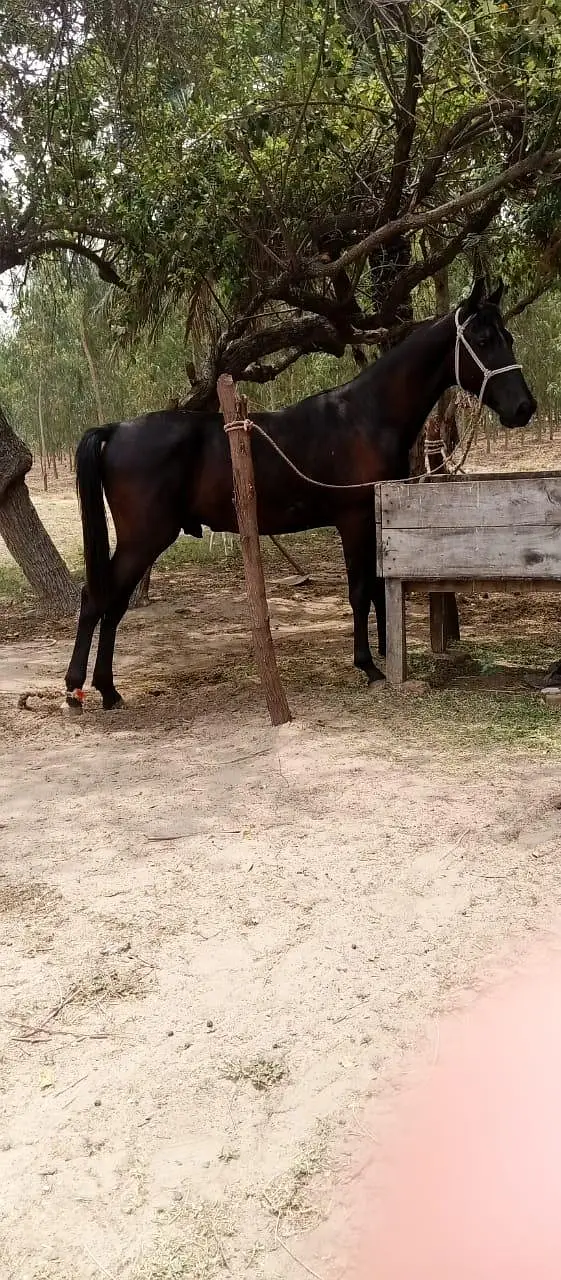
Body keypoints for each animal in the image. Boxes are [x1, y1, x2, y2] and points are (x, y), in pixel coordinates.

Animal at [65, 278, 536, 710]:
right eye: (482, 340)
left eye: (508, 337)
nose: (524, 408)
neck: (365, 416)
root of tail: (115, 430)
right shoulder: (353, 520)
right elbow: (360, 590)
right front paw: (369, 665)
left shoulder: (374, 519)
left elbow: (377, 587)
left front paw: (386, 654)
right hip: (144, 539)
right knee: (98, 599)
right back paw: (78, 688)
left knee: (113, 603)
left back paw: (107, 690)